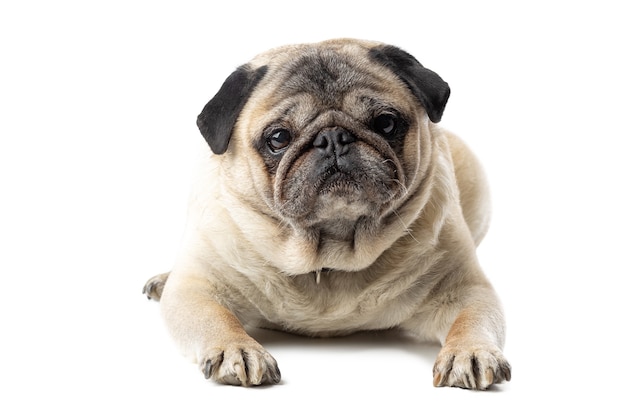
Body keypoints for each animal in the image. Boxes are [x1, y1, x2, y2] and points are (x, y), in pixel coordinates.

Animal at [144, 37, 510, 388]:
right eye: (278, 137)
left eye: (386, 123)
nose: (333, 138)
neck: (330, 254)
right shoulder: (198, 289)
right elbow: (216, 319)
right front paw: (237, 350)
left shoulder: (463, 291)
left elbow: (471, 320)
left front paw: (471, 353)